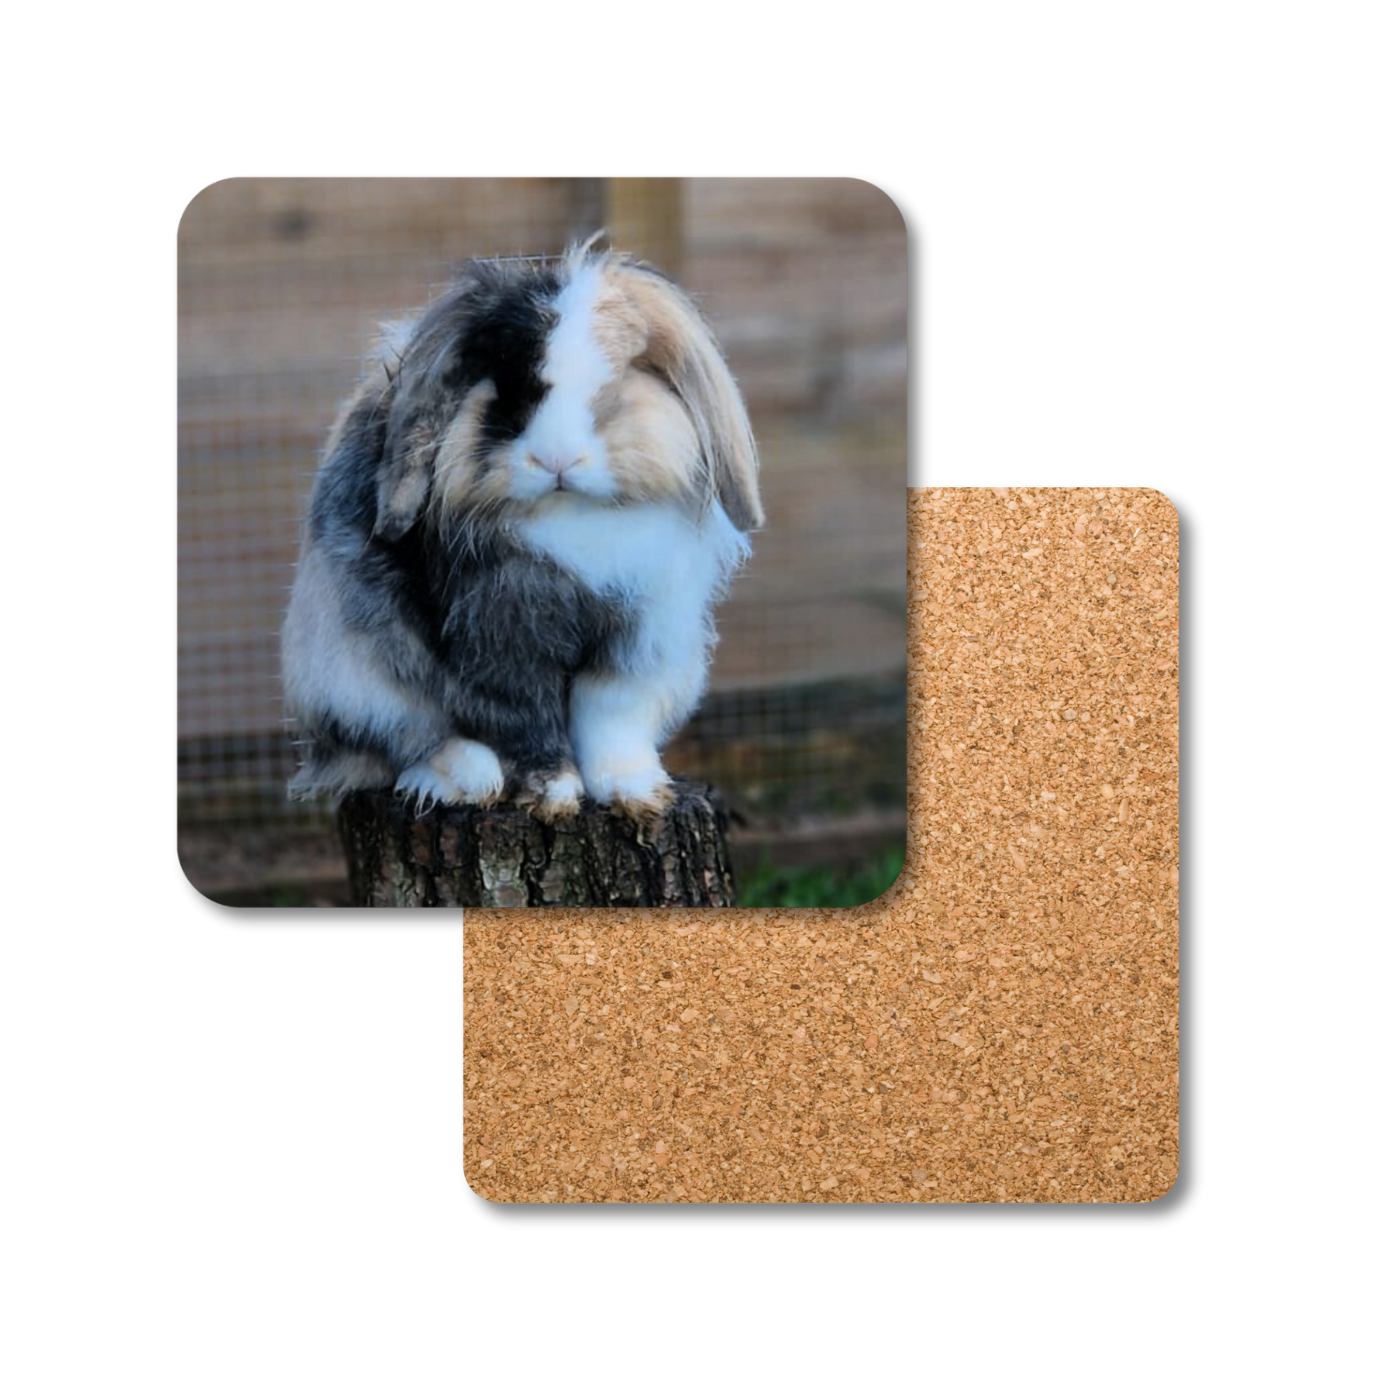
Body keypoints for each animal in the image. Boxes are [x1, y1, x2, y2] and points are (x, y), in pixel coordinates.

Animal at [281, 236, 761, 821]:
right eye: (507, 386)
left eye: (615, 382)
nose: (557, 460)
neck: (570, 518)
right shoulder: (500, 644)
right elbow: (525, 723)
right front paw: (554, 795)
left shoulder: (637, 638)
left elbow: (612, 717)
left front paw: (634, 792)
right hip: (354, 676)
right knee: (400, 744)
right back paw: (465, 778)